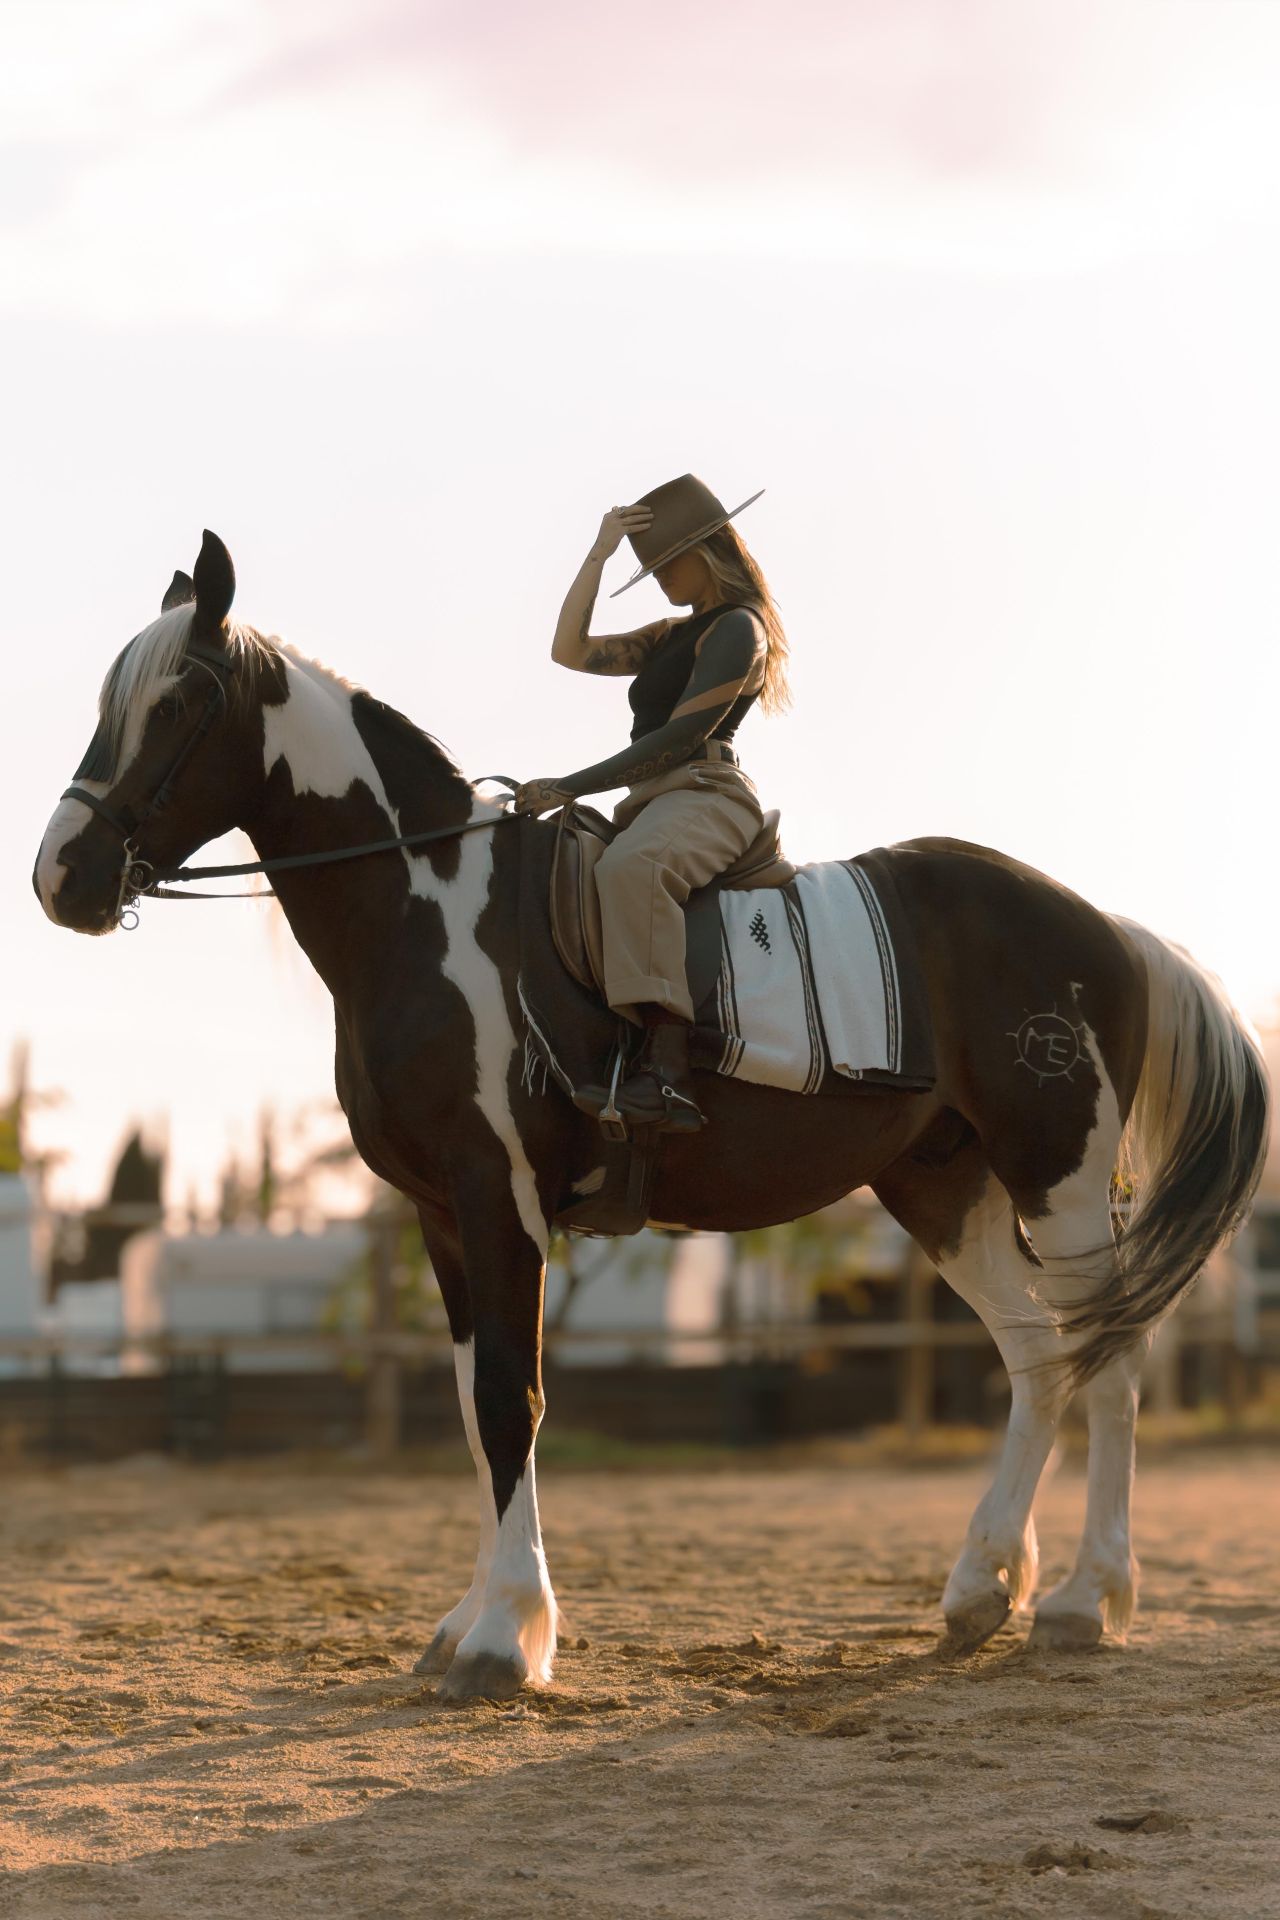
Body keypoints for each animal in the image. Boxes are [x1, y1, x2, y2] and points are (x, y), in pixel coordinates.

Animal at [35, 537, 1266, 1697]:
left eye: (176, 704)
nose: (63, 877)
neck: (428, 905)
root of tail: (1100, 926)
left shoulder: (500, 1196)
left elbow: (510, 1396)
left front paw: (504, 1640)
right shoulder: (440, 1211)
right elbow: (468, 1398)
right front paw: (468, 1623)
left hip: (1059, 1180)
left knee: (1110, 1358)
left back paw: (1082, 1600)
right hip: (941, 1186)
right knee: (1037, 1355)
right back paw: (979, 1592)